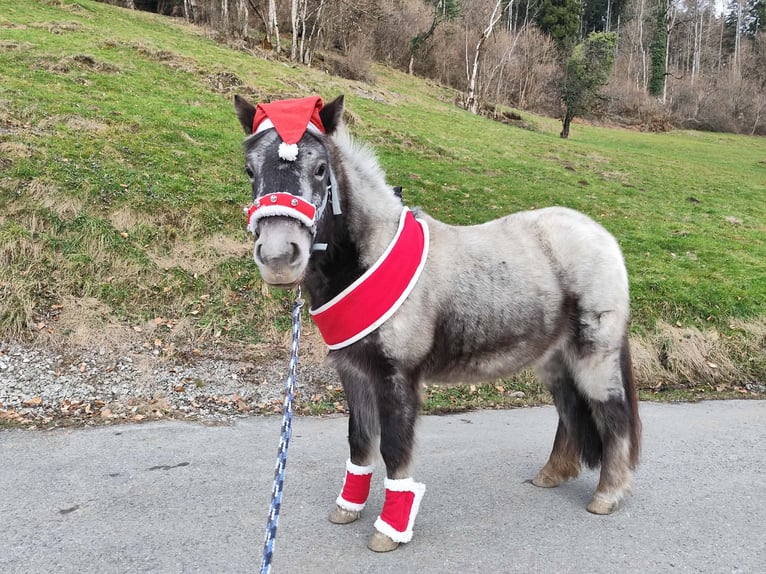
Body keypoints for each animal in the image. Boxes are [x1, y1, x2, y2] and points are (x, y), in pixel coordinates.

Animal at [234, 94, 641, 553]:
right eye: (250, 168)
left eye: (320, 168)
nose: (278, 257)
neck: (372, 257)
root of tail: (602, 236)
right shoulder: (354, 373)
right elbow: (360, 442)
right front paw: (348, 508)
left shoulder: (397, 378)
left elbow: (394, 450)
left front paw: (388, 530)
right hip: (553, 359)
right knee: (569, 409)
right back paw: (551, 475)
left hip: (595, 355)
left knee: (612, 414)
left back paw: (607, 494)